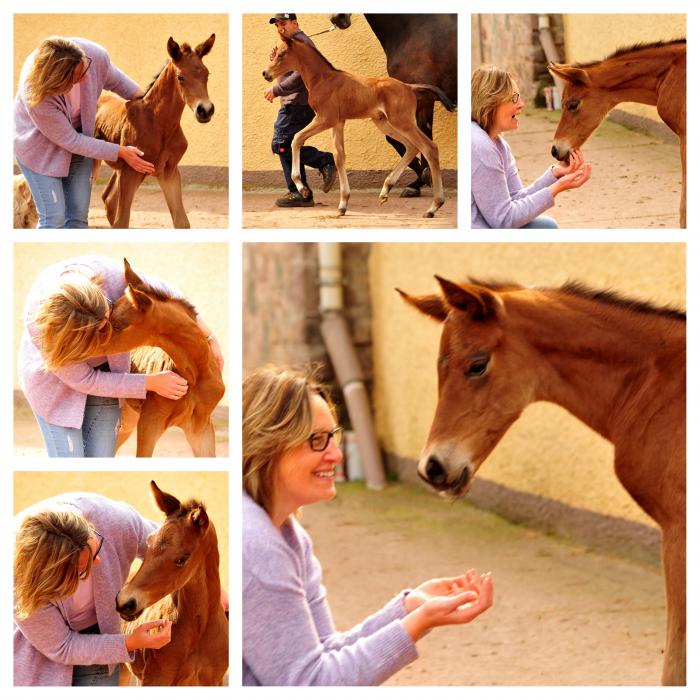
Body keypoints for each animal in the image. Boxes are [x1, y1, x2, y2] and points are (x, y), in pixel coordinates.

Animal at [93, 34, 215, 227]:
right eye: (180, 77)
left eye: (206, 74)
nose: (205, 110)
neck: (158, 124)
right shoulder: (130, 171)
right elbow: (122, 221)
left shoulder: (169, 172)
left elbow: (182, 221)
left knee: (108, 198)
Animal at [115, 482, 227, 684]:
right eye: (148, 542)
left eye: (182, 559)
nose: (125, 602)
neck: (199, 631)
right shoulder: (154, 680)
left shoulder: (214, 682)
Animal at [262, 32, 454, 217]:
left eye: (281, 54)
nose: (265, 73)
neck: (323, 79)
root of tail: (409, 87)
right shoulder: (338, 122)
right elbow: (339, 156)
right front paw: (342, 204)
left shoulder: (325, 118)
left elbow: (296, 138)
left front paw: (302, 188)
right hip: (384, 123)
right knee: (412, 146)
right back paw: (385, 190)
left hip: (402, 121)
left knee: (429, 147)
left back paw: (433, 207)